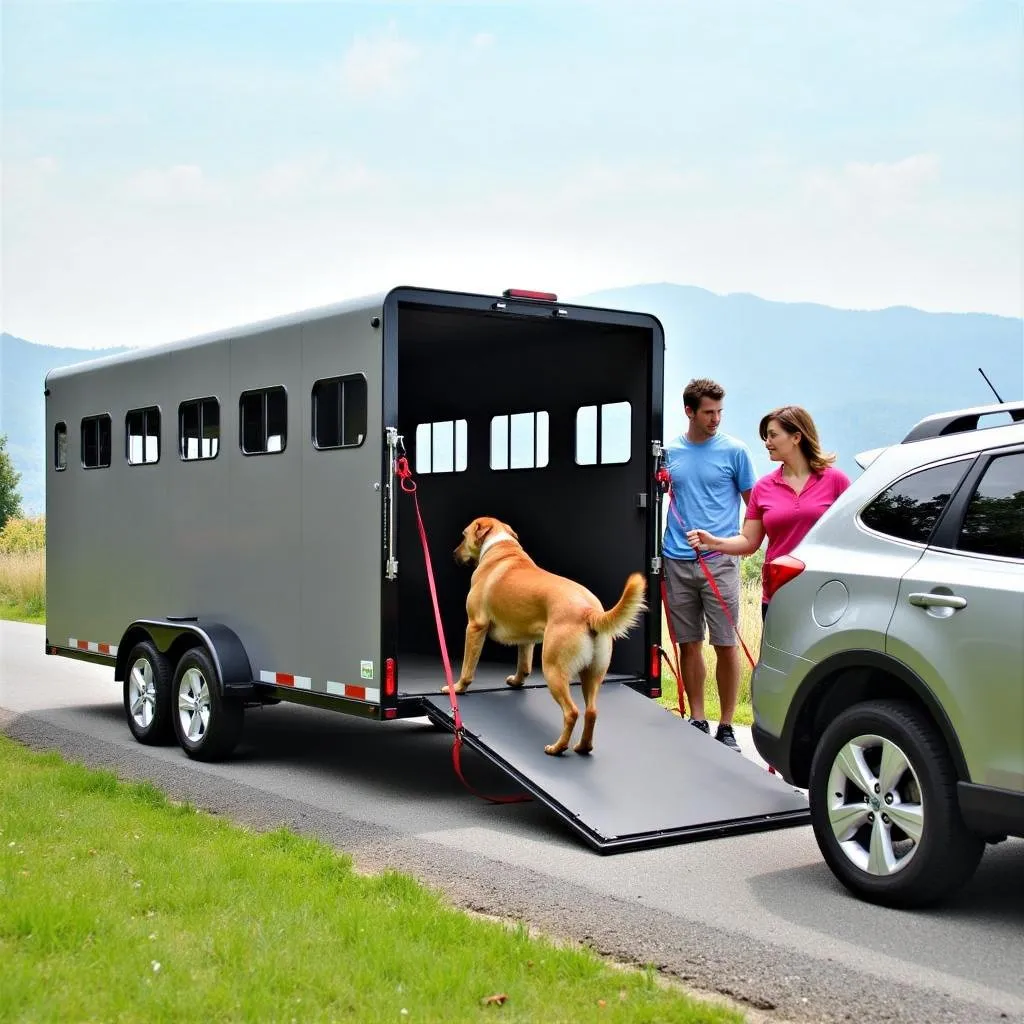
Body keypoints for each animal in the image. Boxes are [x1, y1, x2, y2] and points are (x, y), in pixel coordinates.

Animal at [450, 516, 647, 757]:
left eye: (463, 535)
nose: (453, 554)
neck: (500, 547)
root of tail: (589, 611)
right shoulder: (525, 638)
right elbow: (523, 665)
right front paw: (517, 681)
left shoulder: (475, 626)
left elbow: (468, 668)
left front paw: (457, 688)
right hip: (593, 674)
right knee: (591, 711)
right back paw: (583, 746)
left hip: (553, 669)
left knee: (572, 712)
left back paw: (557, 747)